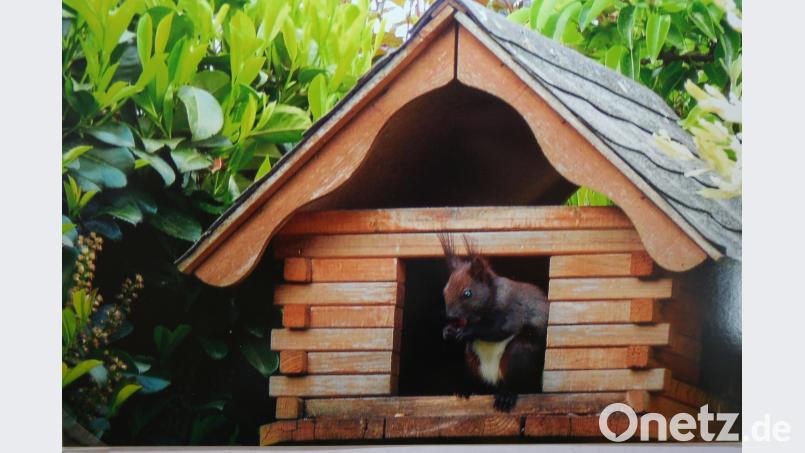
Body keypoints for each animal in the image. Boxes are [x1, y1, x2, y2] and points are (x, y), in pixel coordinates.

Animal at [438, 233, 549, 411]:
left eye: (468, 293)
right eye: (445, 290)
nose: (451, 315)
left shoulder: (512, 311)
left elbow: (498, 329)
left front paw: (467, 331)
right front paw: (448, 331)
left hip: (519, 354)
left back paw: (506, 396)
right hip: (472, 361)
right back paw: (466, 390)